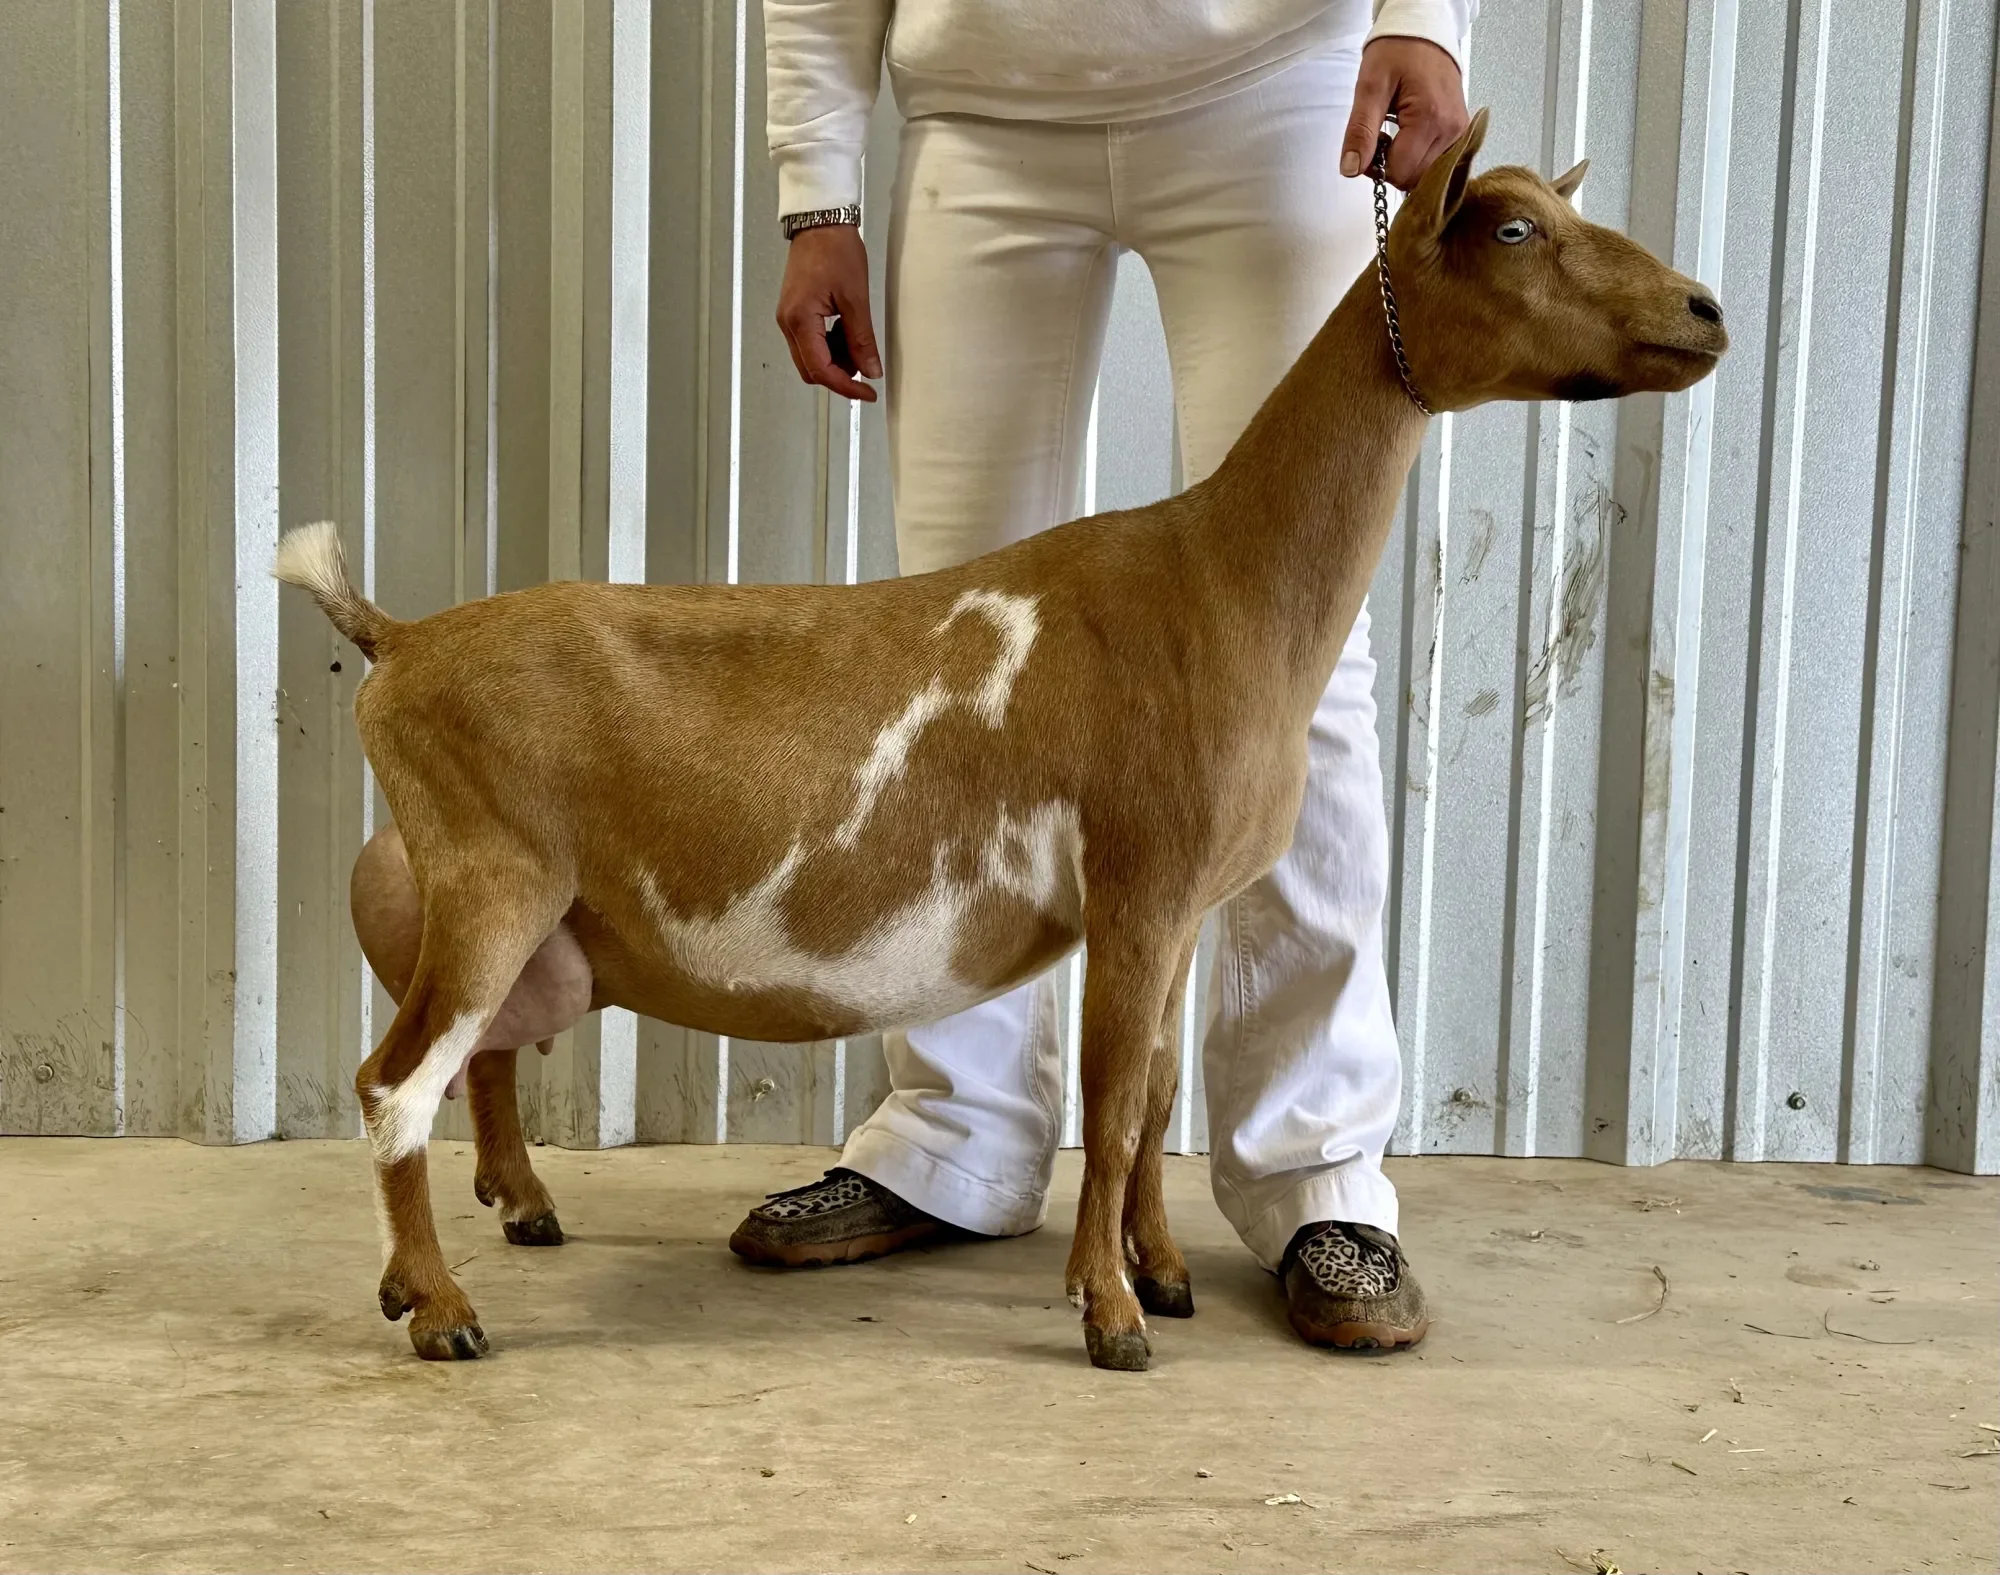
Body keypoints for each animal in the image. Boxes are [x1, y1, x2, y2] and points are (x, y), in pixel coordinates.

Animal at [276, 111, 1726, 1368]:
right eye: (1515, 229)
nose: (1705, 311)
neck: (1217, 577)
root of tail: (398, 638)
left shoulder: (1184, 905)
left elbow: (1156, 1099)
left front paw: (1164, 1273)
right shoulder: (1137, 884)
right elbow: (1109, 1101)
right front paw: (1111, 1318)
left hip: (514, 908)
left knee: (475, 1059)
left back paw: (504, 1219)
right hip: (490, 873)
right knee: (392, 1082)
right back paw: (440, 1308)